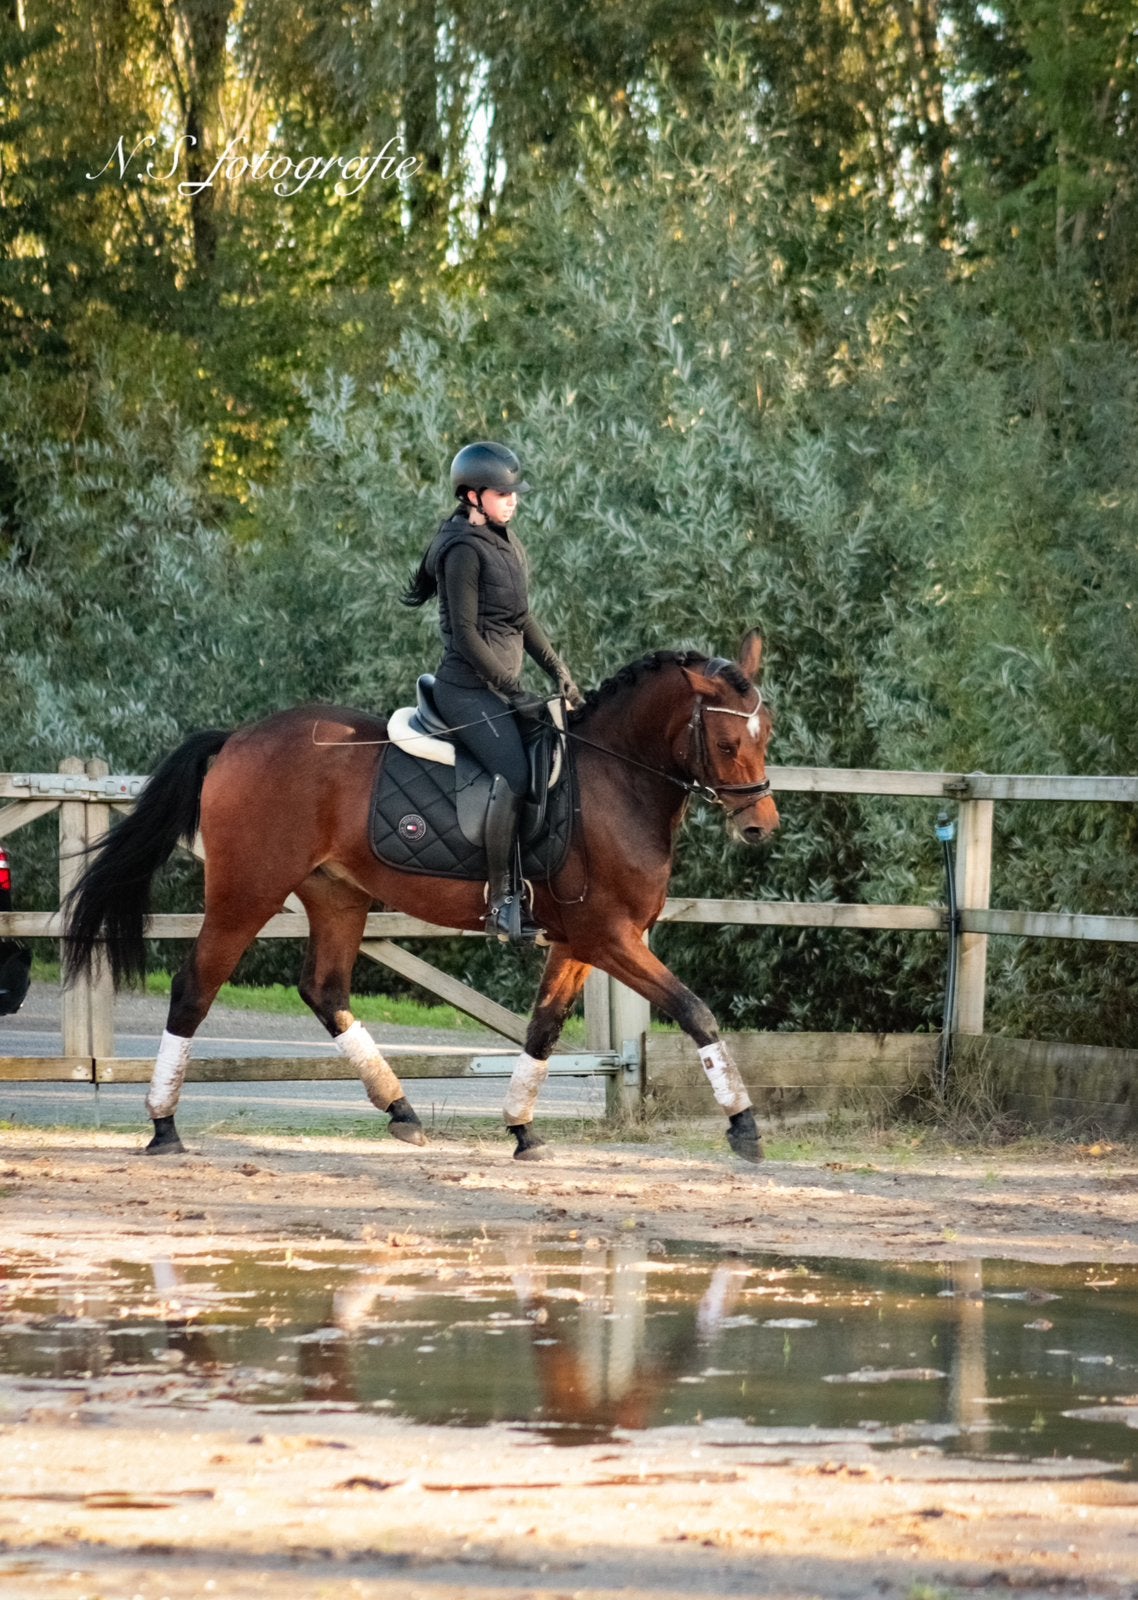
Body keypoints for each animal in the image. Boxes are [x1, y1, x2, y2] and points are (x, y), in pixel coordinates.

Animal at [64, 631, 779, 1162]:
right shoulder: (609, 936)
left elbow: (543, 1028)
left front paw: (521, 1130)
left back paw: (401, 1110)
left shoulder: (580, 941)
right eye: (725, 742)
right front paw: (743, 1126)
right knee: (195, 988)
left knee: (325, 990)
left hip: (337, 897)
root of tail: (237, 738)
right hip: (247, 893)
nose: (760, 827)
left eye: (765, 733)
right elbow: (694, 1010)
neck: (614, 779)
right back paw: (163, 1127)